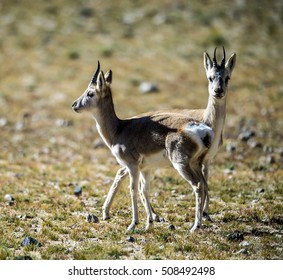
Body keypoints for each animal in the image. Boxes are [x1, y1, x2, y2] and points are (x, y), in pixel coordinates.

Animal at [72, 62, 216, 233]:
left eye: (90, 93)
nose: (74, 105)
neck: (119, 129)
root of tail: (203, 130)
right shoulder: (146, 168)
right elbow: (145, 190)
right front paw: (149, 223)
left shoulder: (132, 166)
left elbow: (133, 190)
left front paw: (133, 224)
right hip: (196, 163)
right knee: (205, 184)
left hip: (181, 165)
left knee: (198, 185)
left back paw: (195, 226)